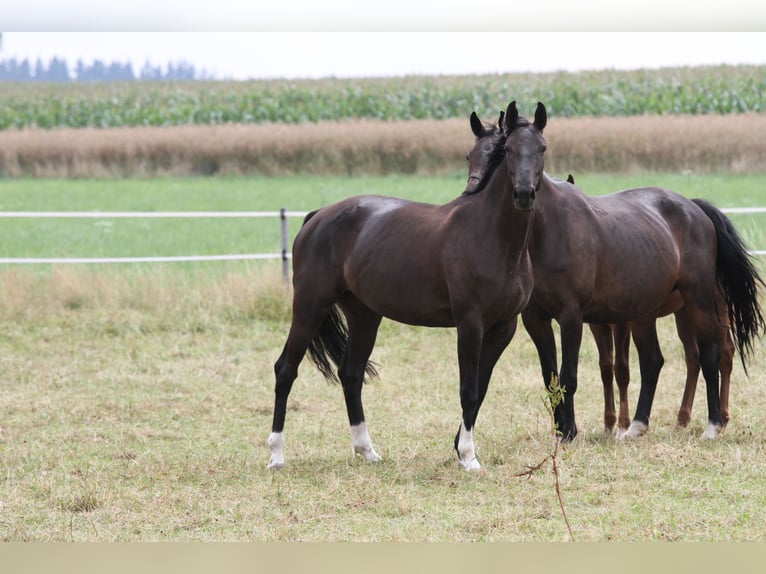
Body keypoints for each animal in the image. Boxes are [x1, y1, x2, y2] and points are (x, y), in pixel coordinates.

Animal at [268, 102, 548, 472]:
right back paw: (276, 456)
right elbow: (468, 389)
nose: (524, 194)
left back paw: (367, 451)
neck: (494, 239)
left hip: (364, 315)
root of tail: (318, 217)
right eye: (511, 151)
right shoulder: (470, 324)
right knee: (285, 369)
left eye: (542, 148)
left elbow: (481, 387)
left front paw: (461, 448)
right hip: (309, 307)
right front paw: (468, 457)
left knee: (351, 373)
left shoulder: (504, 327)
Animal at [464, 110, 764, 440]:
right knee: (653, 361)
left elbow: (570, 376)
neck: (550, 231)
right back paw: (637, 425)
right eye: (474, 155)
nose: (523, 194)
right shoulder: (537, 319)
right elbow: (551, 376)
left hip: (698, 302)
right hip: (646, 313)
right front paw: (561, 429)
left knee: (711, 354)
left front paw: (570, 432)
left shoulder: (572, 317)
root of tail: (695, 209)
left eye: (542, 148)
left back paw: (712, 424)